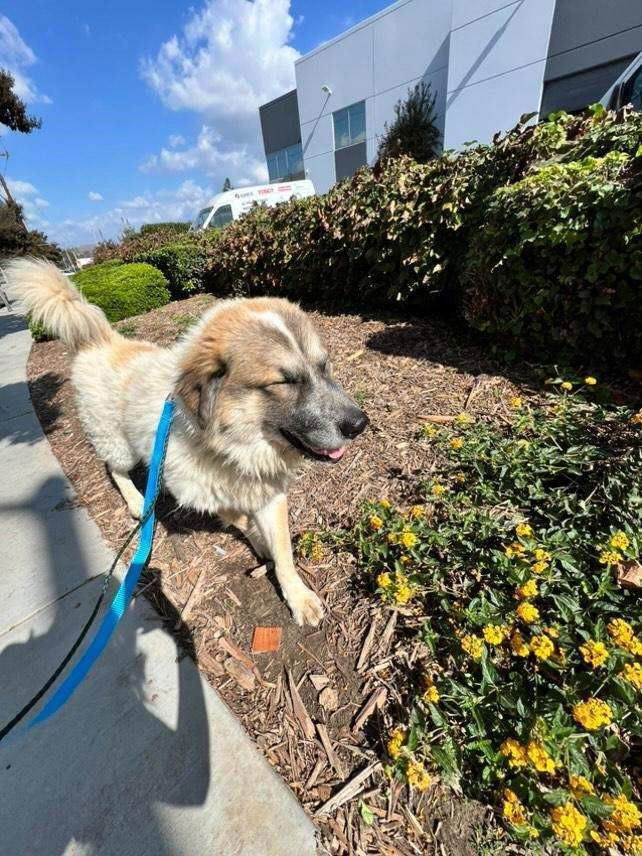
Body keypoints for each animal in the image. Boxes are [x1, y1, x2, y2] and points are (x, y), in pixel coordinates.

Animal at [10, 258, 368, 624]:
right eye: (284, 382)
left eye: (323, 367)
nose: (359, 424)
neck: (234, 447)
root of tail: (102, 341)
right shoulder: (200, 492)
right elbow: (240, 518)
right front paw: (259, 541)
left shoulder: (269, 492)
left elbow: (283, 552)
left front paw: (297, 596)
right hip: (119, 446)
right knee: (113, 468)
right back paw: (136, 500)